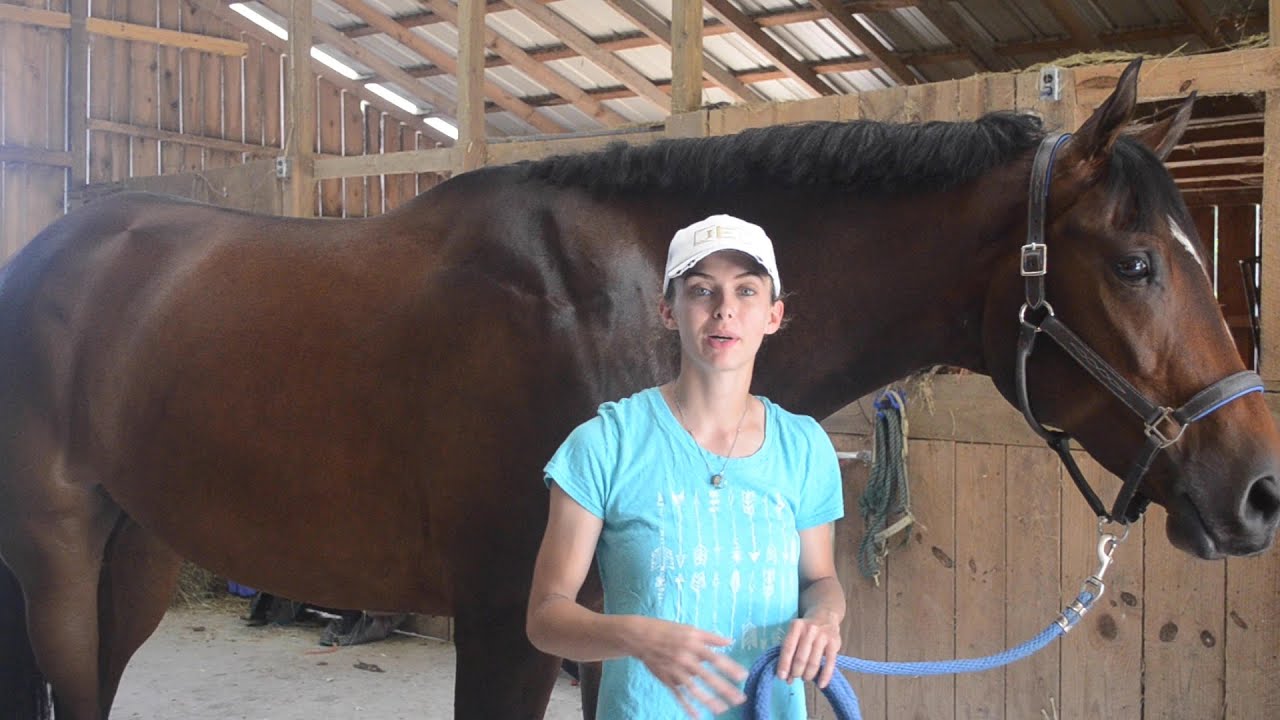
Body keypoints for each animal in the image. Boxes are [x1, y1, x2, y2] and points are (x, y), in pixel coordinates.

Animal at [1, 59, 1277, 720]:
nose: (1258, 489)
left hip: (138, 552)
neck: (616, 310)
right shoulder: (506, 633)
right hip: (57, 552)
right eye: (1135, 263)